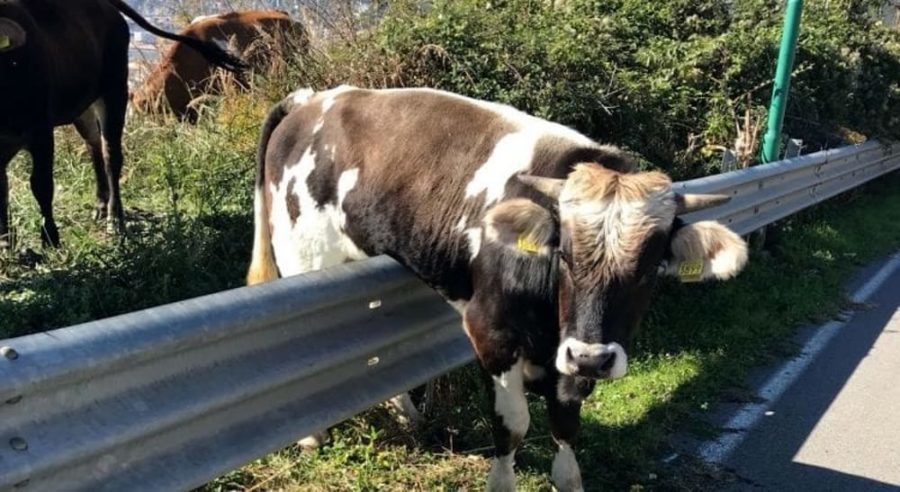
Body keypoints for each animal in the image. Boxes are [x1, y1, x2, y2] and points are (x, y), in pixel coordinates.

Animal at [0, 0, 244, 248]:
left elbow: (41, 184)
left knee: (111, 156)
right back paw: (100, 205)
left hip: (115, 90)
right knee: (94, 145)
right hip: (84, 104)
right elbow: (2, 190)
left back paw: (114, 218)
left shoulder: (41, 131)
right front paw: (5, 240)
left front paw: (50, 239)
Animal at [246, 86, 749, 491]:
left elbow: (565, 422)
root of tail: (313, 99)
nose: (592, 358)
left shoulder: (567, 352)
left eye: (649, 268)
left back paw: (408, 418)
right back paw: (311, 435)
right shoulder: (491, 331)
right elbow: (514, 424)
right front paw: (501, 479)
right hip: (303, 260)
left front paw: (568, 476)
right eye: (565, 254)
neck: (550, 316)